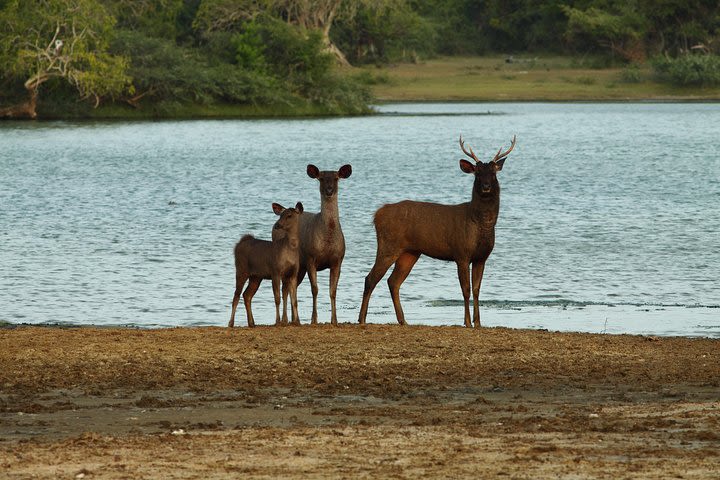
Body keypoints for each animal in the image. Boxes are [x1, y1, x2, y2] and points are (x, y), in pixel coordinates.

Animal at [298, 165, 352, 326]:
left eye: (336, 178)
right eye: (321, 178)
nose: (329, 190)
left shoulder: (338, 260)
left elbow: (333, 291)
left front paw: (335, 320)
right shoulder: (311, 258)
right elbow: (314, 289)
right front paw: (313, 319)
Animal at [358, 137, 516, 328]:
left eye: (493, 173)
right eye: (477, 173)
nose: (486, 186)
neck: (478, 223)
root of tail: (377, 215)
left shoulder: (481, 257)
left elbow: (477, 289)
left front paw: (478, 322)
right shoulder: (461, 253)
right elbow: (466, 289)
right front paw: (467, 322)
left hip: (410, 252)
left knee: (393, 281)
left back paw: (403, 320)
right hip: (388, 245)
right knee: (370, 278)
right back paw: (362, 319)